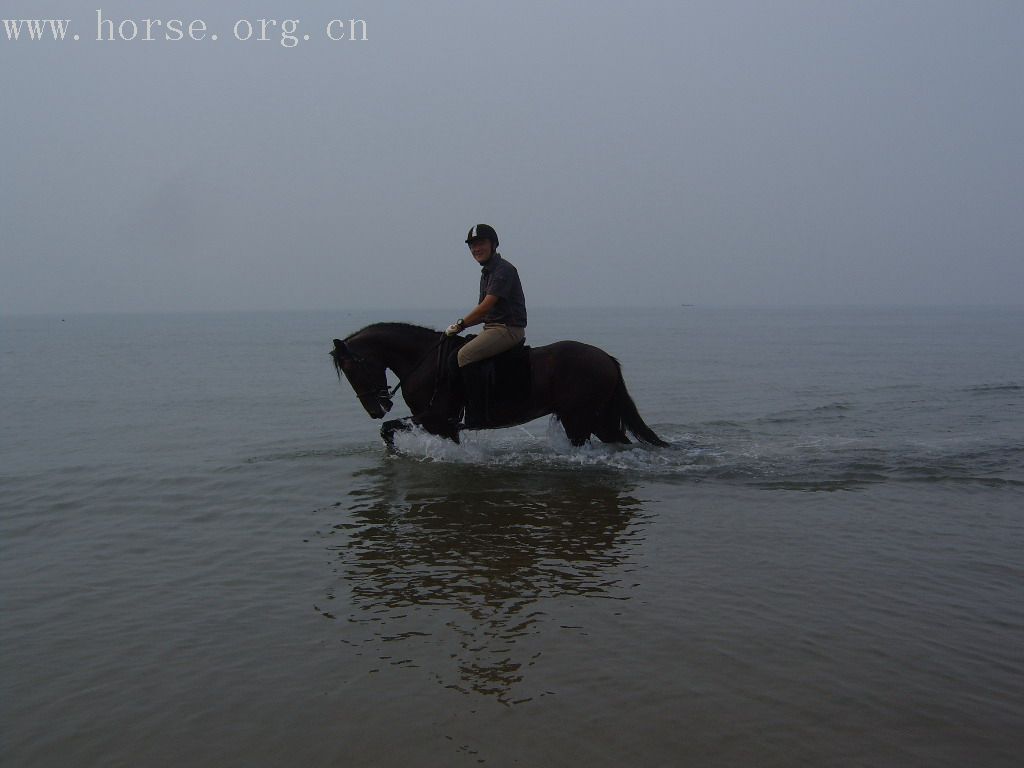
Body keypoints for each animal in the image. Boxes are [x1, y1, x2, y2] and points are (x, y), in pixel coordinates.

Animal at [331, 321, 667, 448]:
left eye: (351, 368)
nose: (376, 408)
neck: (424, 361)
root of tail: (606, 358)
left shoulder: (435, 419)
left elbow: (388, 430)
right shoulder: (443, 424)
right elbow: (388, 429)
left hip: (581, 419)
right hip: (598, 417)